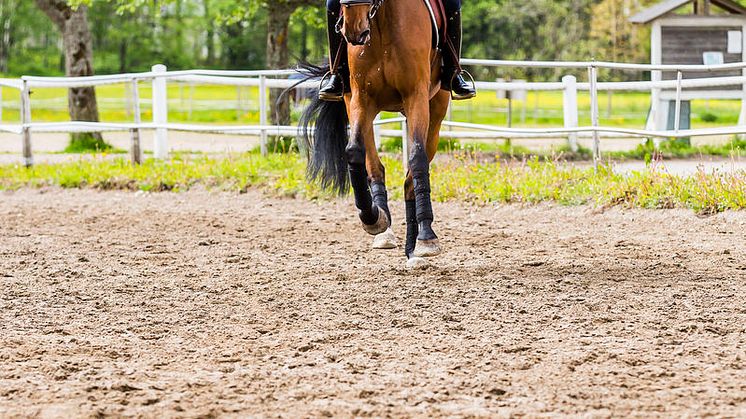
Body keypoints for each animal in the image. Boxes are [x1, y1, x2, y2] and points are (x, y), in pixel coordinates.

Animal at [298, 0, 448, 270]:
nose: (353, 30)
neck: (381, 25)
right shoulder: (361, 98)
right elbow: (354, 153)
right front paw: (372, 218)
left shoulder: (416, 96)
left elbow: (417, 159)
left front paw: (427, 238)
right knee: (375, 166)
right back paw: (384, 227)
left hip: (436, 111)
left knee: (411, 176)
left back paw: (414, 246)